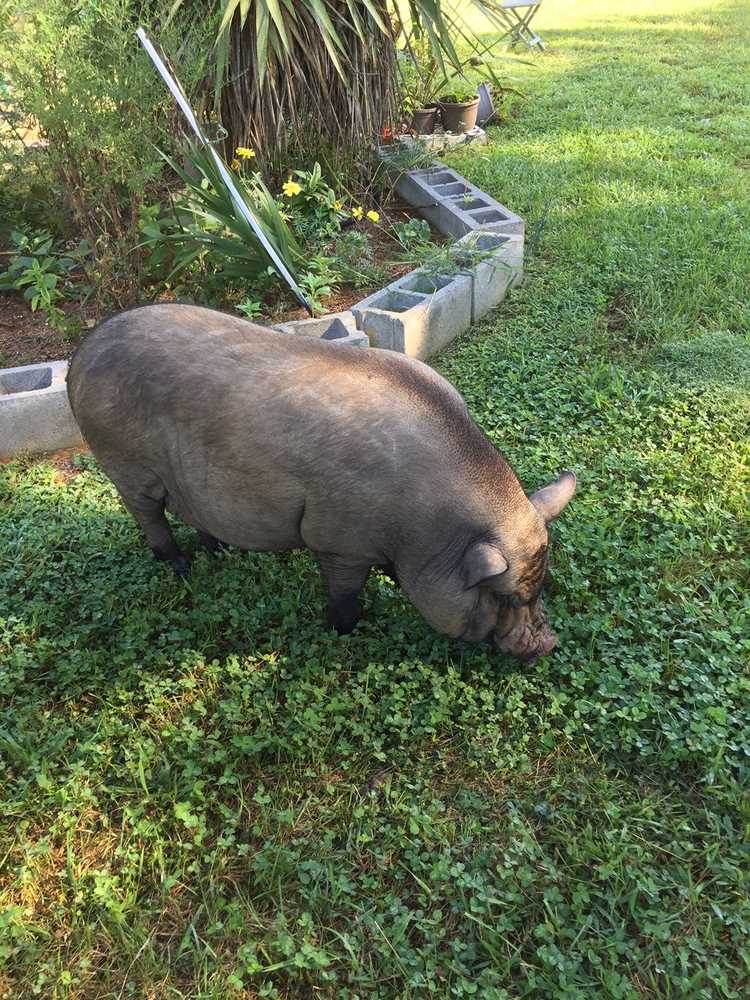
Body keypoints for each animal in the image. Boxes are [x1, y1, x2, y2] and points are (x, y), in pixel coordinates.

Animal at [67, 304, 580, 664]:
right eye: (501, 595)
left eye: (541, 586)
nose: (548, 643)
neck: (426, 529)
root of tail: (81, 356)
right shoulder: (337, 539)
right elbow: (344, 591)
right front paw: (346, 630)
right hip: (125, 464)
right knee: (148, 514)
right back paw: (180, 567)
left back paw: (220, 552)